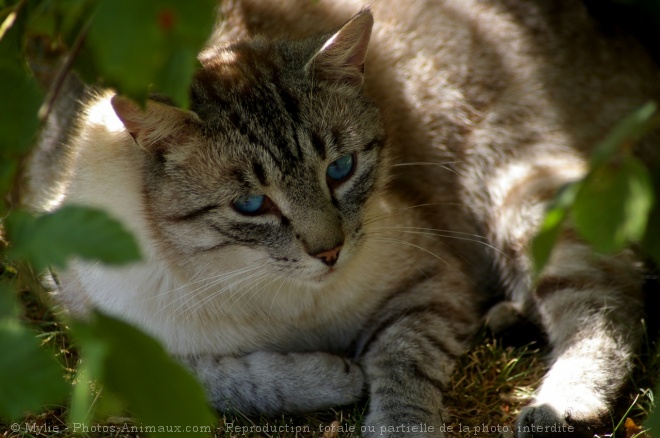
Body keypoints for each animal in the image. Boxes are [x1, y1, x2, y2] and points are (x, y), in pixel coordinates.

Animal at [27, 0, 660, 436]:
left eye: (341, 169)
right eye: (251, 205)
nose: (329, 253)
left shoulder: (432, 283)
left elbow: (401, 362)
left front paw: (393, 421)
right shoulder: (107, 334)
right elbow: (232, 383)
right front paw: (334, 375)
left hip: (518, 188)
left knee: (608, 298)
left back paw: (563, 404)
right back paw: (505, 318)